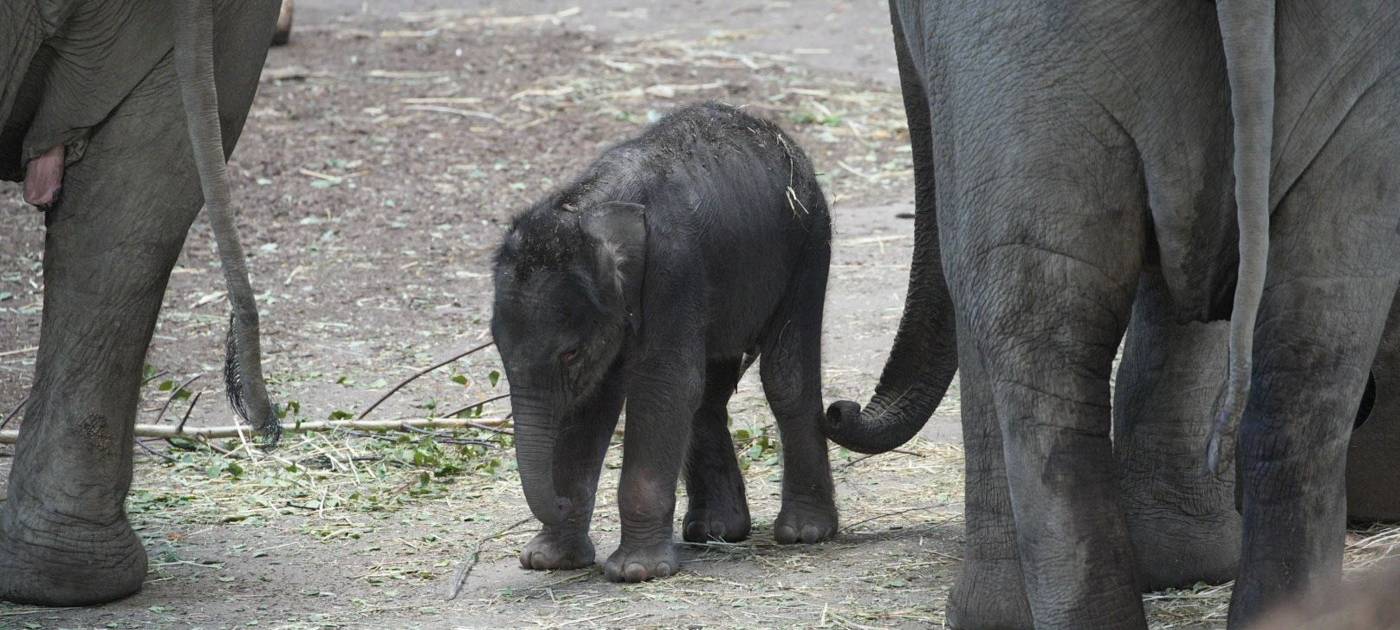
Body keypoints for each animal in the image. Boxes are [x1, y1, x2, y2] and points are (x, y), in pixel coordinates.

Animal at [491, 102, 837, 583]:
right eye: (498, 348)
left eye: (570, 352)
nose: (558, 500)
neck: (590, 209)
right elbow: (592, 402)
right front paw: (548, 561)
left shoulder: (674, 268)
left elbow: (664, 386)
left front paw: (636, 571)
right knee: (709, 393)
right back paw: (716, 531)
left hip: (809, 242)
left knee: (784, 377)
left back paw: (804, 532)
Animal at [822, 0, 1400, 627]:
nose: (838, 409)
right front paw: (1182, 567)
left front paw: (990, 618)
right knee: (1313, 353)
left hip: (1030, 48)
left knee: (1040, 343)